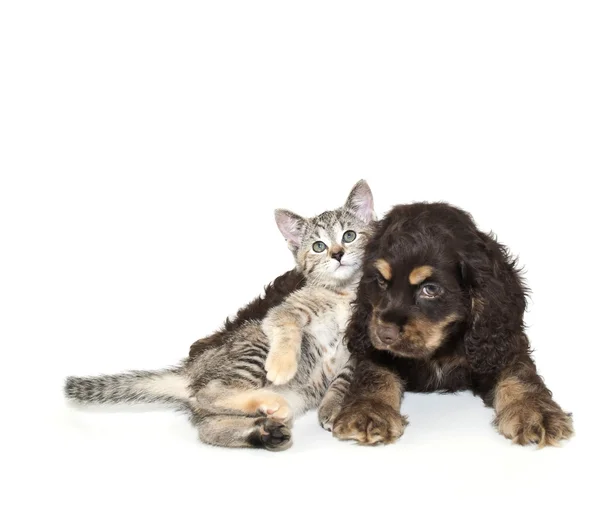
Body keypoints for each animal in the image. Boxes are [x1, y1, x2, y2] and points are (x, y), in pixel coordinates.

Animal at [65, 181, 376, 452]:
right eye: (318, 246)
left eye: (349, 235)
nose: (337, 254)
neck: (343, 293)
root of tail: (191, 370)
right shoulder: (284, 310)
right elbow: (287, 327)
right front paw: (282, 365)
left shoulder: (358, 347)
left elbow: (343, 378)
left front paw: (332, 406)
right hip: (254, 349)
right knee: (211, 392)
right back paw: (269, 405)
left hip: (294, 395)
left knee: (208, 425)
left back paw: (265, 432)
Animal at [324, 202, 576, 448]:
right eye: (380, 282)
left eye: (431, 289)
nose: (384, 333)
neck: (440, 348)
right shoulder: (373, 346)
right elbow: (374, 372)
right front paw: (368, 411)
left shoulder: (500, 345)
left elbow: (519, 373)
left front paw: (536, 412)